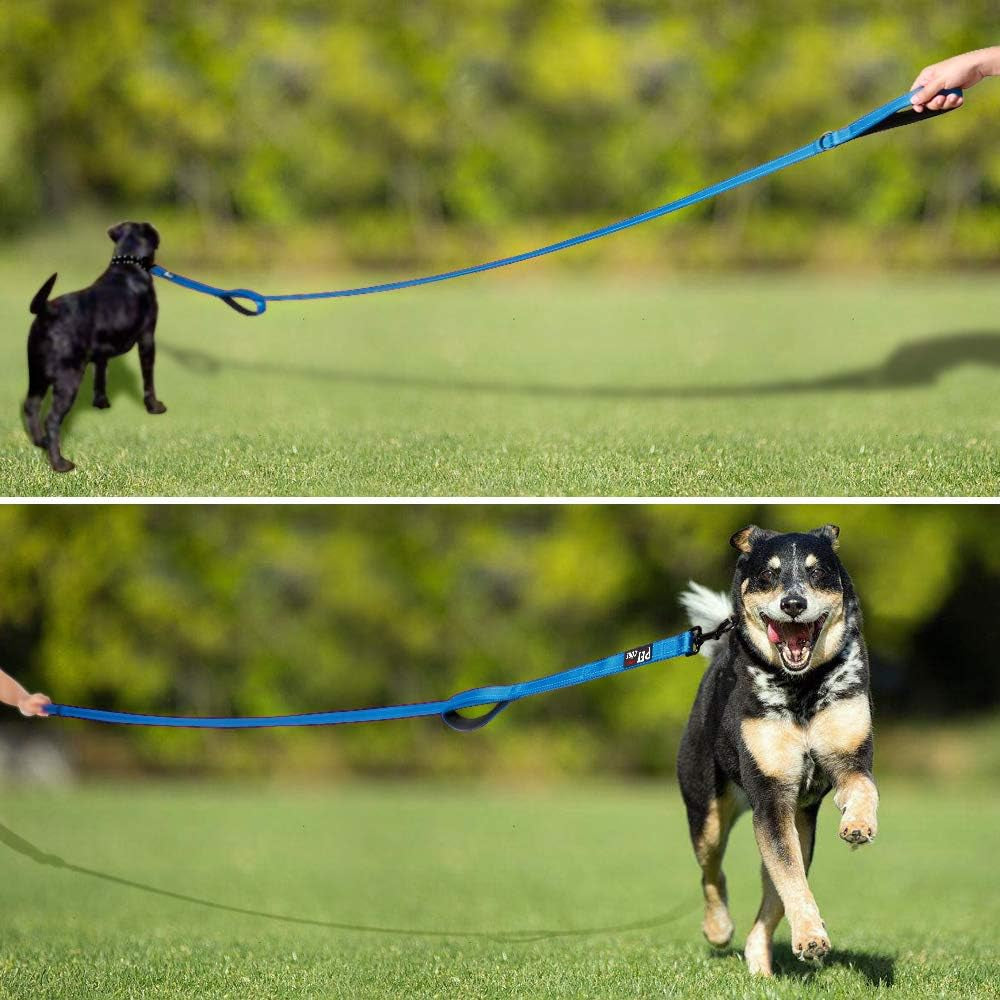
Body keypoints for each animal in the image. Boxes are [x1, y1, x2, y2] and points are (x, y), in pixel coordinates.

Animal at [23, 225, 166, 474]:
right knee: (51, 419)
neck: (127, 265)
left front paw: (101, 403)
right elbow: (148, 379)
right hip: (68, 378)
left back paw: (40, 442)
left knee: (31, 406)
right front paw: (154, 407)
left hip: (36, 374)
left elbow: (101, 375)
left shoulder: (100, 353)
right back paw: (60, 464)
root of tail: (47, 309)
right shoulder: (148, 339)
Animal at [676, 528, 880, 980]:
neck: (801, 687)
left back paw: (761, 968)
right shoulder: (770, 798)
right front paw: (810, 938)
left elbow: (863, 789)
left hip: (800, 827)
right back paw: (719, 929)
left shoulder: (849, 760)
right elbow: (790, 882)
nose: (793, 604)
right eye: (768, 576)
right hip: (708, 812)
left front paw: (858, 825)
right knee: (713, 875)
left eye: (816, 571)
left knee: (771, 904)